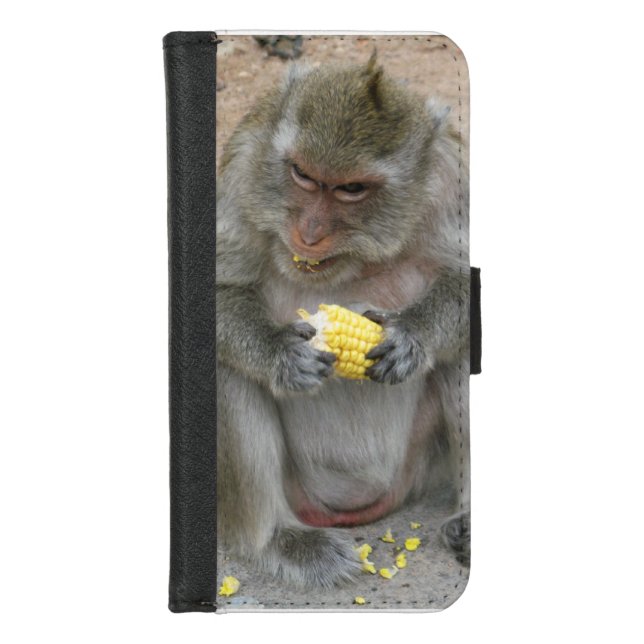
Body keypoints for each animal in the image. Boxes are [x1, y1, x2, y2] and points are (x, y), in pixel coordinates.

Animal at [216, 54, 470, 588]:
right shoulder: (245, 161)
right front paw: (280, 353)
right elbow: (216, 290)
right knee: (225, 370)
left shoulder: (453, 176)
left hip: (418, 468)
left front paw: (412, 337)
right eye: (303, 175)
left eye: (351, 189)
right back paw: (279, 540)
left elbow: (467, 281)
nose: (309, 233)